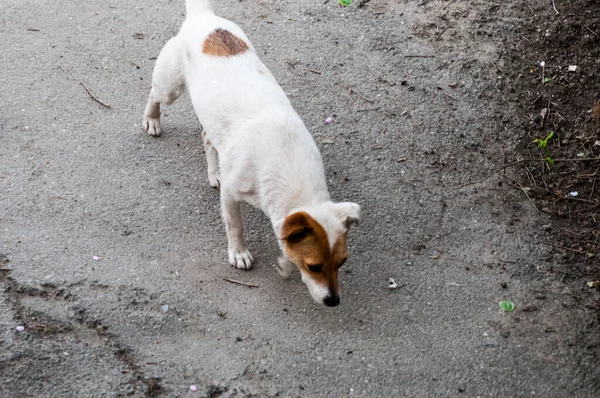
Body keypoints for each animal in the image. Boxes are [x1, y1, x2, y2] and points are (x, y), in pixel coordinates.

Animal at [144, 0, 360, 306]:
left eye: (342, 262)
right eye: (314, 266)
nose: (334, 301)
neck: (287, 164)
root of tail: (204, 17)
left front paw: (283, 263)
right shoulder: (231, 195)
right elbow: (235, 226)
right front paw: (239, 253)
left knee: (207, 139)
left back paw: (214, 172)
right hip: (169, 87)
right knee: (154, 94)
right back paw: (152, 120)